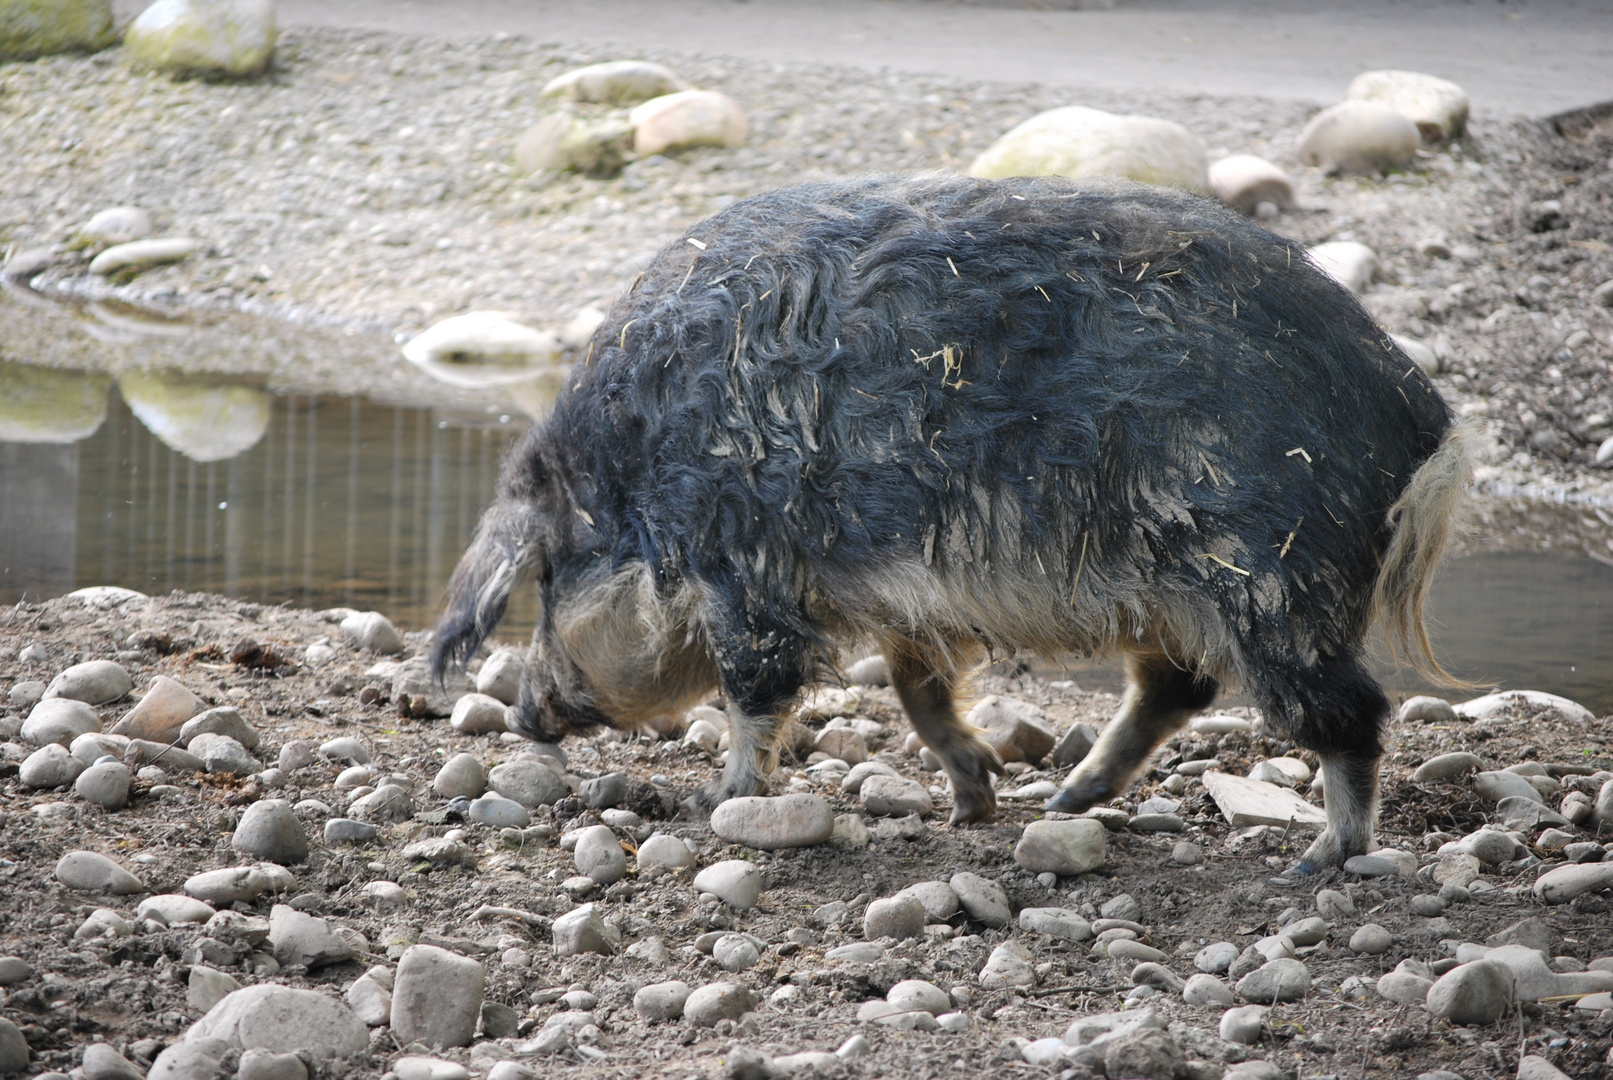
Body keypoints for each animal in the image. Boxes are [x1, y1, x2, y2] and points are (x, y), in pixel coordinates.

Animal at [435, 175, 1471, 870]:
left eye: (547, 578)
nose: (522, 713)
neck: (638, 477)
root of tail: (1419, 417)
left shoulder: (745, 570)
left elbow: (754, 692)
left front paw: (714, 802)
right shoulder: (907, 601)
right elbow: (918, 697)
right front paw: (970, 803)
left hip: (1272, 578)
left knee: (1348, 713)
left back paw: (1321, 857)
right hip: (1170, 588)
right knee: (1175, 689)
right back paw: (1063, 798)